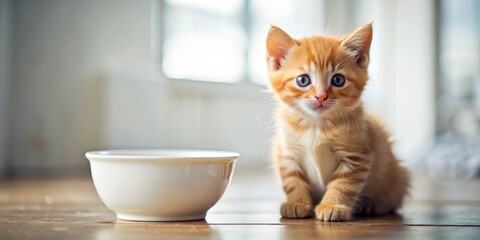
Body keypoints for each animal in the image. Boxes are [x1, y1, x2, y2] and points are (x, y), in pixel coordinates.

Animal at [266, 23, 408, 222]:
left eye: (338, 80)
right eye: (303, 80)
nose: (321, 96)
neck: (316, 125)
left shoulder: (356, 156)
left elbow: (343, 184)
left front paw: (333, 206)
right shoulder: (287, 153)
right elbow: (292, 180)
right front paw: (297, 203)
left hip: (396, 176)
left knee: (392, 200)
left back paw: (373, 204)